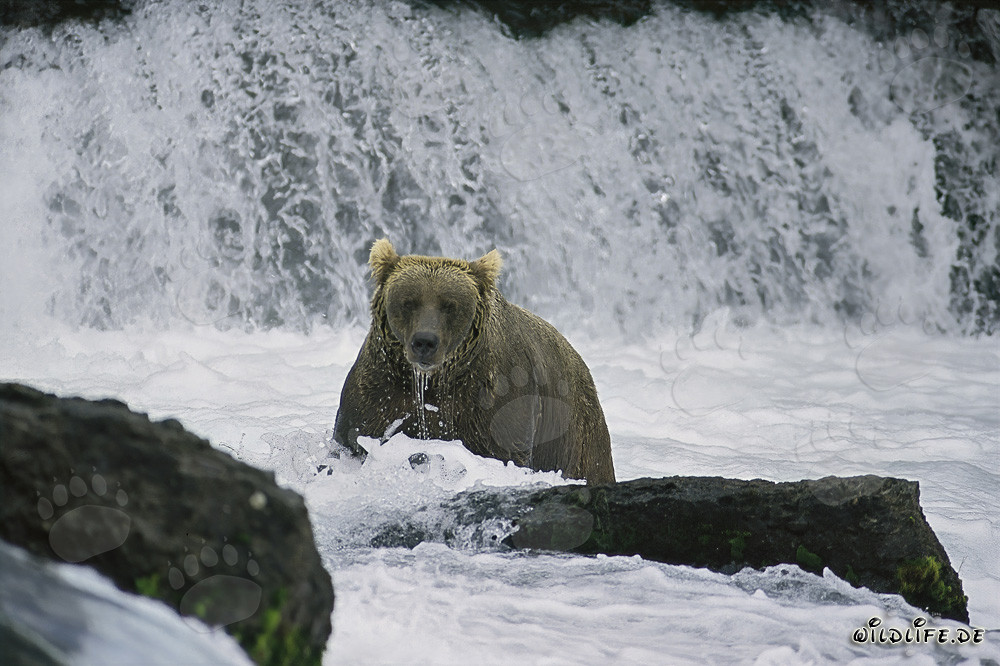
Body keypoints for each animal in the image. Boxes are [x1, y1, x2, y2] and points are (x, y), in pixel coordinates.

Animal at [333, 239, 615, 484]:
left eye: (449, 305)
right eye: (408, 302)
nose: (425, 342)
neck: (435, 380)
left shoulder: (492, 398)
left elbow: (501, 451)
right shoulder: (379, 390)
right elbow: (353, 438)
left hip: (577, 437)